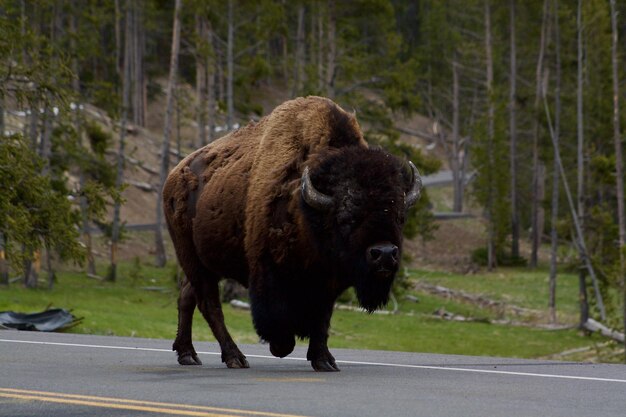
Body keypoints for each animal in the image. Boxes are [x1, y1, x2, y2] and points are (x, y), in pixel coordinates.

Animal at [163, 96, 422, 370]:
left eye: (400, 217)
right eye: (346, 216)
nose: (385, 253)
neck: (307, 211)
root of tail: (174, 175)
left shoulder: (328, 282)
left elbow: (322, 319)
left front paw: (324, 360)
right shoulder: (269, 273)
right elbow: (278, 319)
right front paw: (280, 347)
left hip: (204, 264)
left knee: (187, 296)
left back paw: (188, 354)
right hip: (193, 259)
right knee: (210, 304)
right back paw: (235, 357)